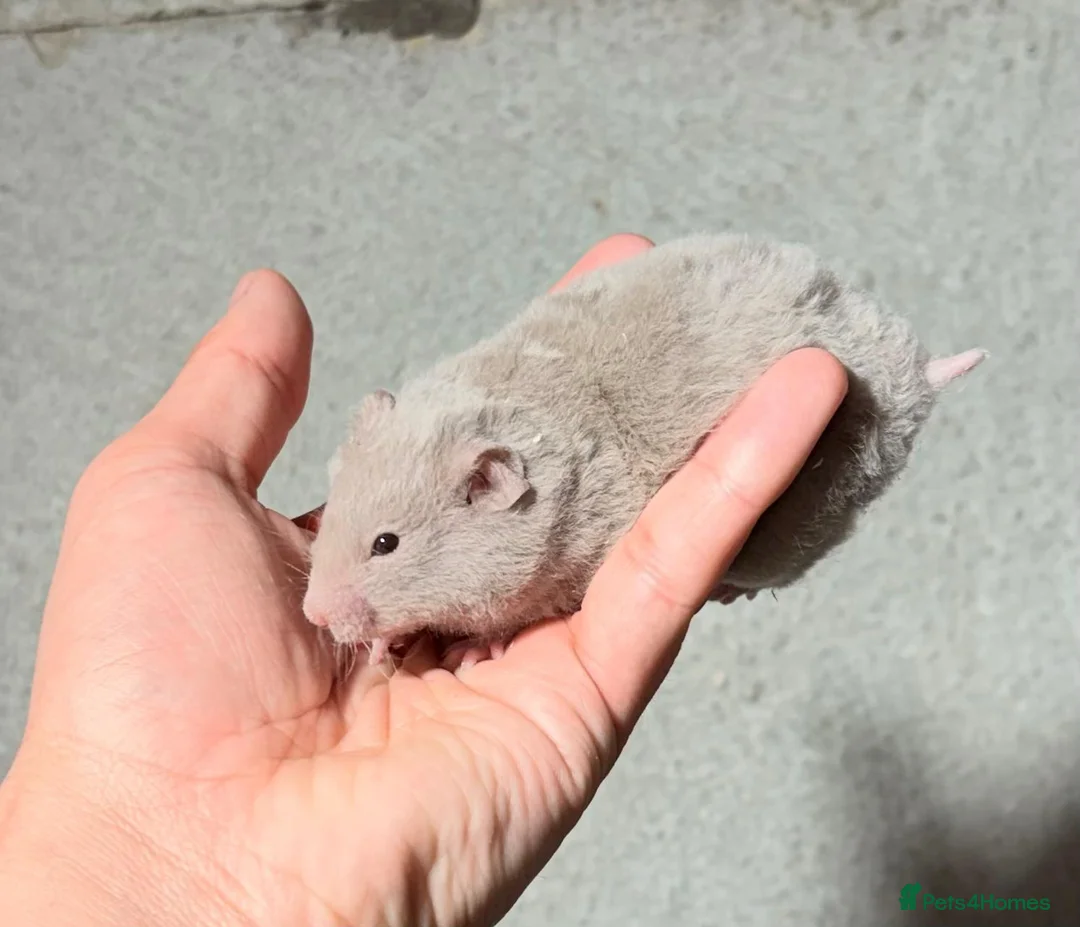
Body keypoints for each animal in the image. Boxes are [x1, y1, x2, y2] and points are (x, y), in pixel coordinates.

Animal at [302, 233, 985, 663]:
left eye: (386, 544)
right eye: (332, 519)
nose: (311, 617)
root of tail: (915, 373)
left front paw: (469, 647)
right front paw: (386, 648)